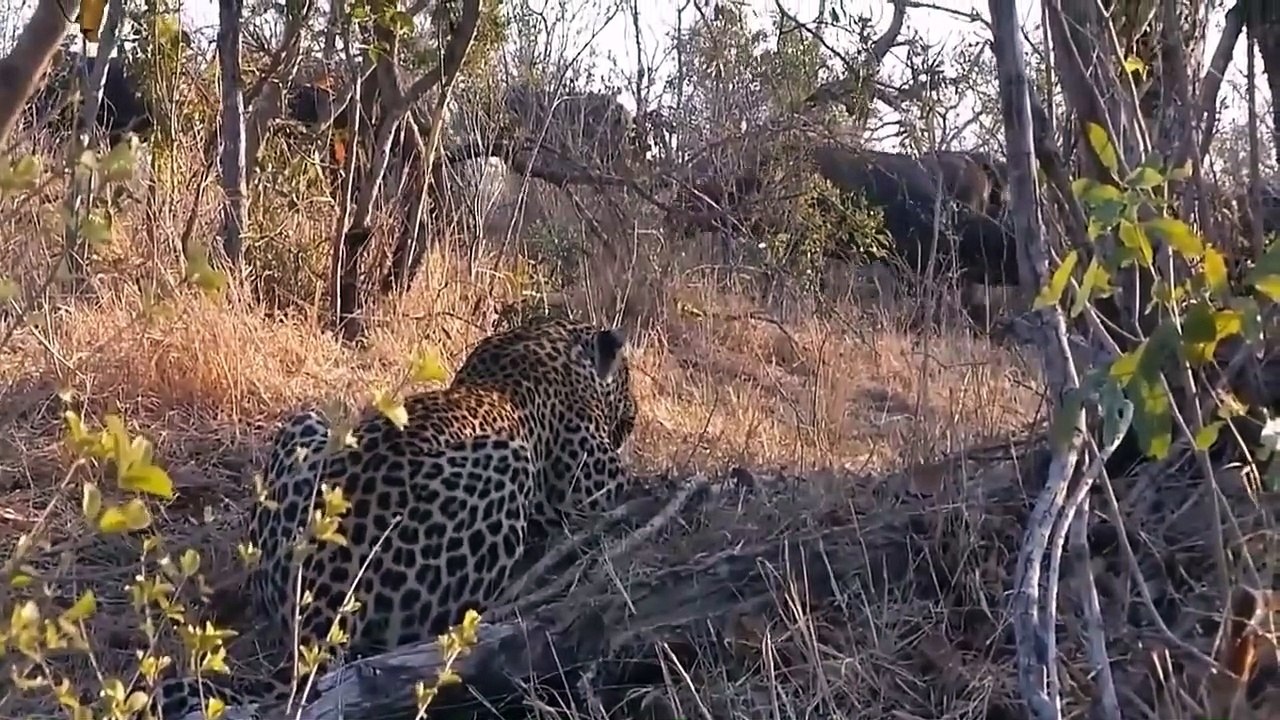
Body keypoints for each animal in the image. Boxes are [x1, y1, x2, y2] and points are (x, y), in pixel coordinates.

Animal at [150, 316, 637, 719]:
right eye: (629, 381)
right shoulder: (595, 479)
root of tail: (321, 614)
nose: (633, 416)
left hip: (306, 424)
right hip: (506, 464)